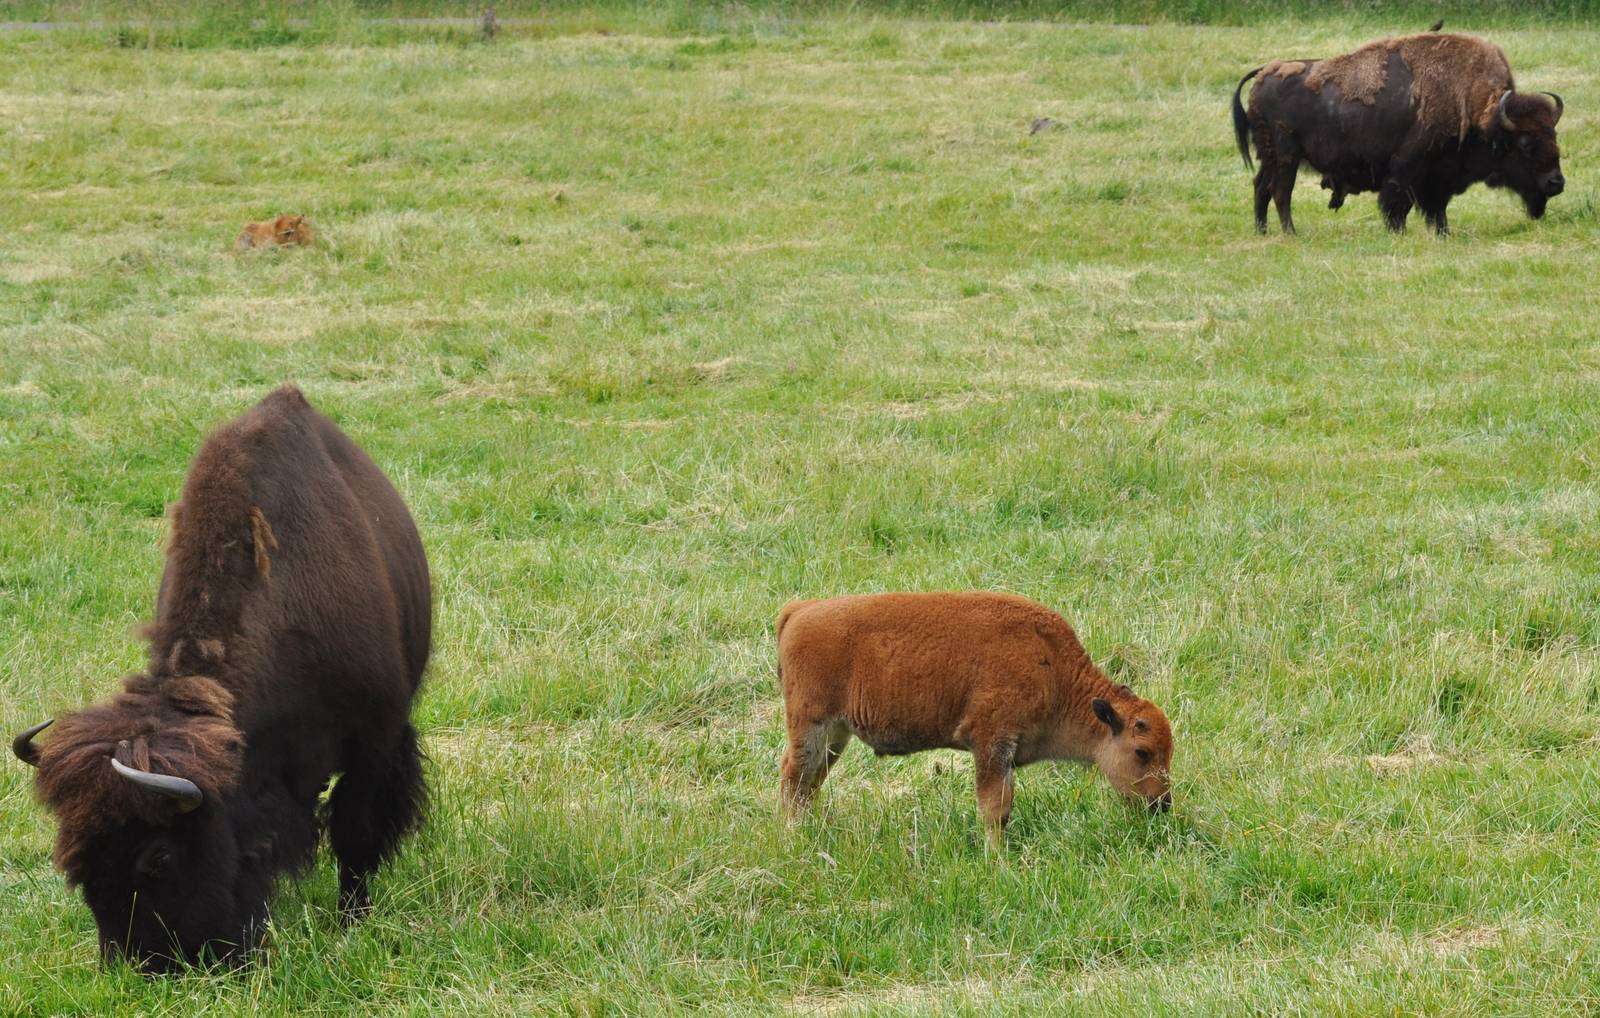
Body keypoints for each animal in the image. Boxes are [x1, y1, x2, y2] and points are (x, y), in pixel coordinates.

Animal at [12, 386, 431, 970]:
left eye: (160, 855)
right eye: (74, 857)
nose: (140, 966)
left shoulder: (375, 740)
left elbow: (357, 834)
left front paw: (353, 921)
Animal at [1232, 33, 1565, 234]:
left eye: (1554, 137)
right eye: (1524, 145)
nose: (1556, 183)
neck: (1476, 106)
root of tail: (1263, 74)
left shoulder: (1438, 178)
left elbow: (1437, 209)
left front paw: (1443, 233)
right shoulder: (1407, 169)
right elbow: (1397, 205)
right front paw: (1398, 233)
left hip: (1269, 156)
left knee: (1261, 186)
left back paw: (1262, 231)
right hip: (1286, 155)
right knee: (1280, 192)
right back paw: (1291, 233)